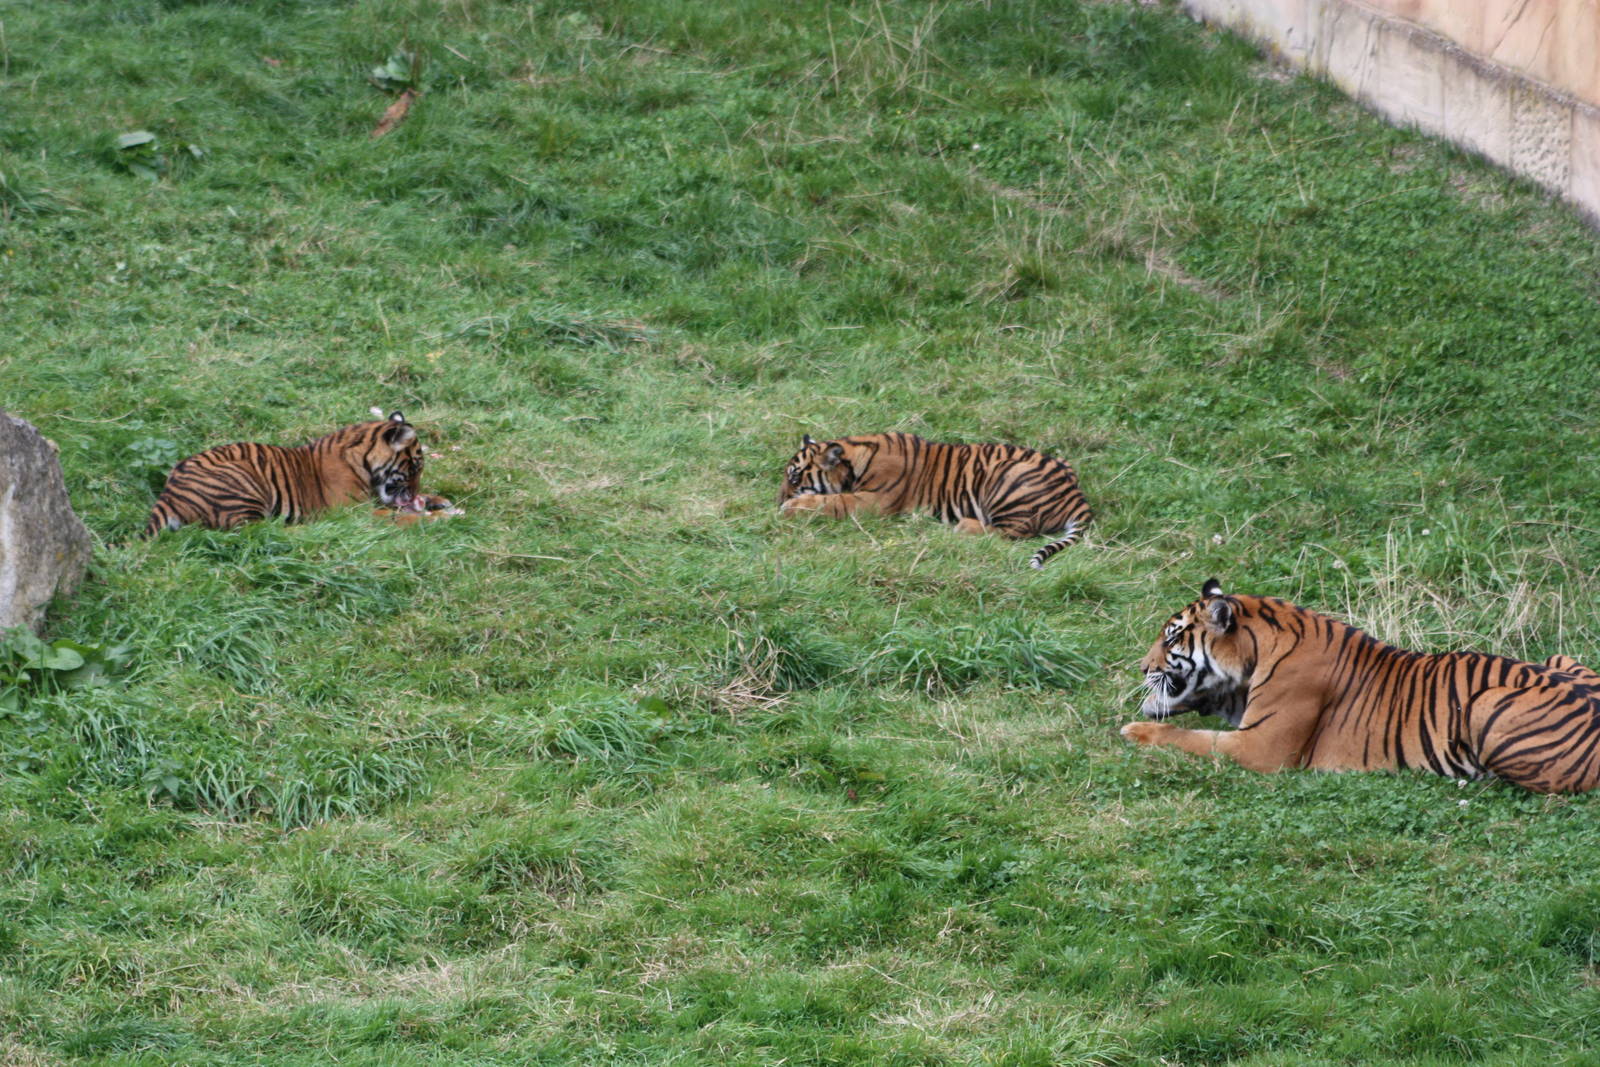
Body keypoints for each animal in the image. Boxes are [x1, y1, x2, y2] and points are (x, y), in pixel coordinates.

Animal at [143, 411, 453, 536]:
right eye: (415, 467)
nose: (413, 494)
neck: (362, 459)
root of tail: (167, 494)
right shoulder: (355, 511)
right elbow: (397, 517)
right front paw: (436, 518)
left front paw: (437, 501)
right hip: (242, 485)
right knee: (259, 530)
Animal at [778, 432, 1092, 568]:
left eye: (794, 478)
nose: (776, 497)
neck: (854, 454)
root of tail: (1076, 494)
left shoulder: (872, 501)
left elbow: (830, 502)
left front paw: (788, 508)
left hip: (1006, 477)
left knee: (1012, 532)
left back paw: (965, 526)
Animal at [1122, 578, 1600, 794]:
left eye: (1171, 639)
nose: (1142, 666)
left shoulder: (1261, 747)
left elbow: (1190, 738)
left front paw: (1135, 731)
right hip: (1560, 659)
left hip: (1486, 705)